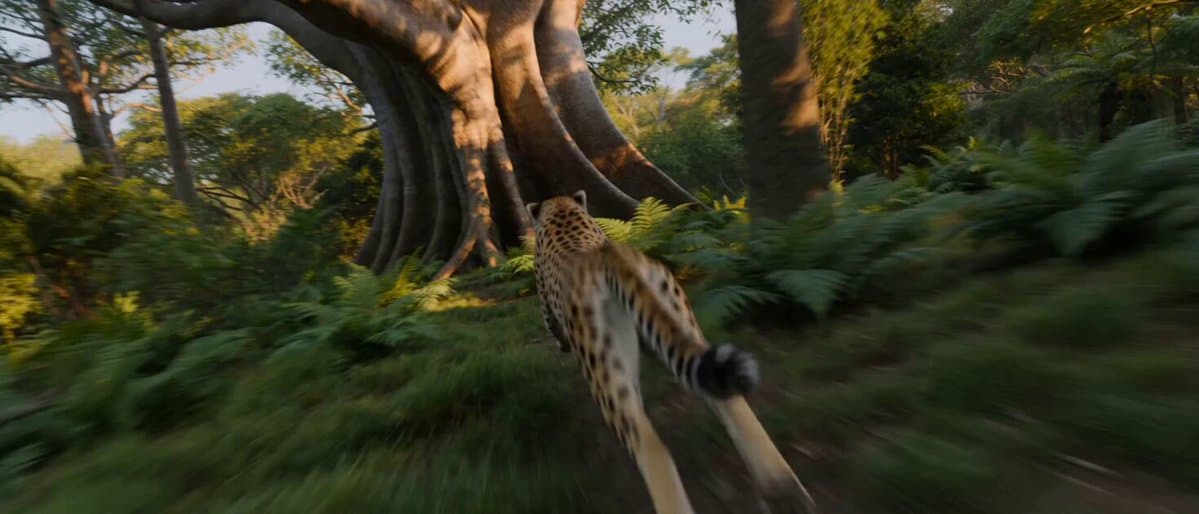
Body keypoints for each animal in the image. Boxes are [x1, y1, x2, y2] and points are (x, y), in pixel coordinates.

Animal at [526, 191, 816, 514]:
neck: (563, 213)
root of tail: (611, 255)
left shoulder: (547, 305)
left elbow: (551, 325)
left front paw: (560, 343)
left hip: (604, 373)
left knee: (650, 446)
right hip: (682, 321)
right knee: (728, 398)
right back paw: (783, 489)